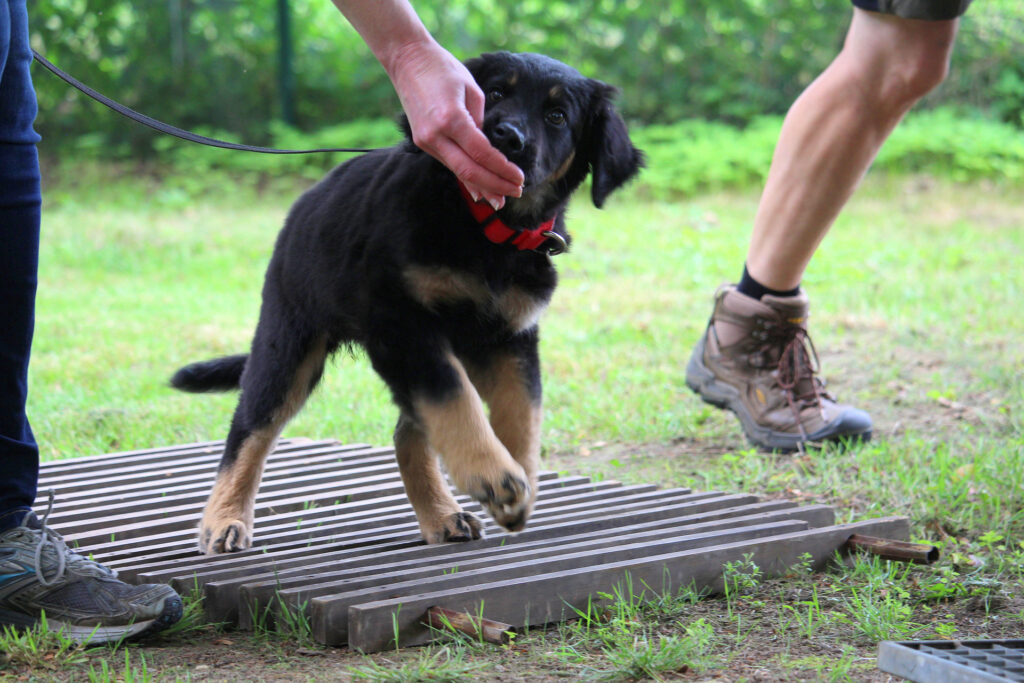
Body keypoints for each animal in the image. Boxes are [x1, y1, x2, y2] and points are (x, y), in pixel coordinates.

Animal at [172, 53, 643, 557]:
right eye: (495, 92)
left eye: (557, 116)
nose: (506, 137)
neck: (483, 226)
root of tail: (306, 201)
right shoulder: (402, 323)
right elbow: (454, 398)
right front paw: (493, 474)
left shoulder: (511, 335)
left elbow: (521, 412)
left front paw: (516, 486)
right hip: (289, 343)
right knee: (250, 428)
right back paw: (224, 519)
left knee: (407, 432)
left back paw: (440, 515)